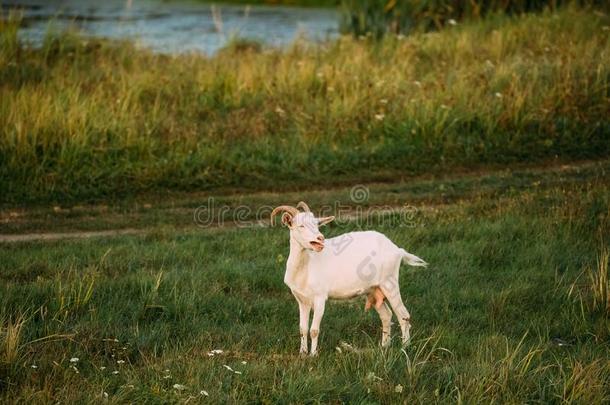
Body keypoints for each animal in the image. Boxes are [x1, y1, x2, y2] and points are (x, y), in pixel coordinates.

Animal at [268, 201, 426, 354]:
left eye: (317, 224)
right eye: (301, 225)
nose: (320, 238)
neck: (305, 266)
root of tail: (397, 250)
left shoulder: (320, 297)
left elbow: (314, 330)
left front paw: (313, 355)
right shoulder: (302, 300)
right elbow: (303, 329)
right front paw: (302, 353)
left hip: (389, 283)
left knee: (404, 315)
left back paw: (405, 348)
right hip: (373, 290)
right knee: (386, 315)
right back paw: (384, 346)